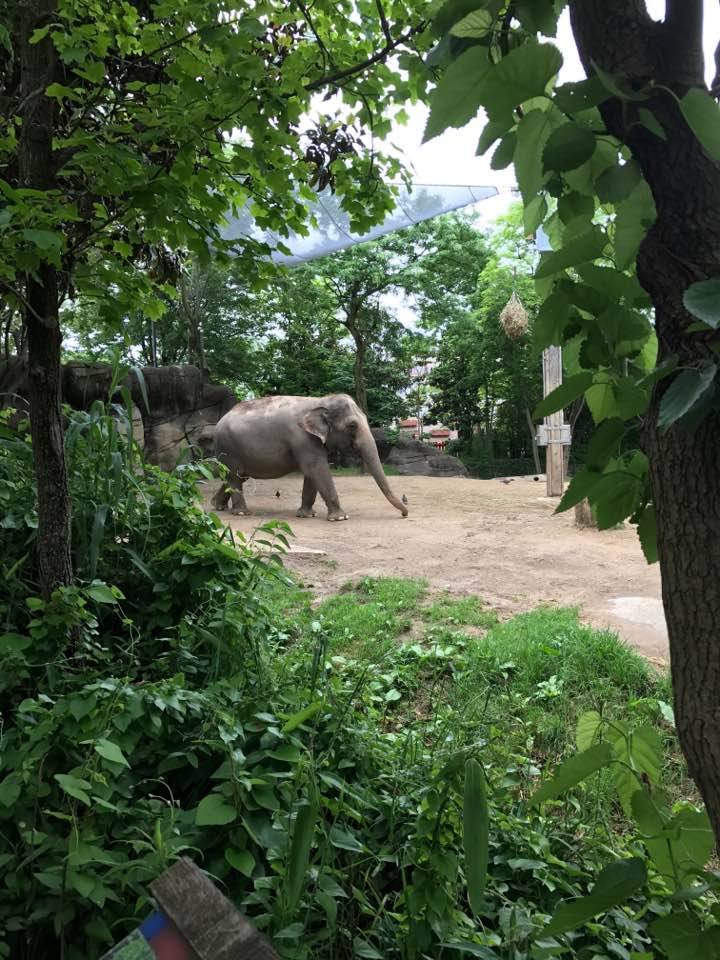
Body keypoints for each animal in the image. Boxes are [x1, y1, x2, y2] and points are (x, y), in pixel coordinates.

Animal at [211, 393, 408, 521]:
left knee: (236, 477)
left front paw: (307, 515)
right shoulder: (302, 438)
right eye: (352, 425)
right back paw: (241, 513)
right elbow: (316, 468)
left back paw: (218, 506)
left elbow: (311, 473)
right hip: (228, 448)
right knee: (235, 476)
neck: (320, 401)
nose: (404, 514)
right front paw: (341, 517)